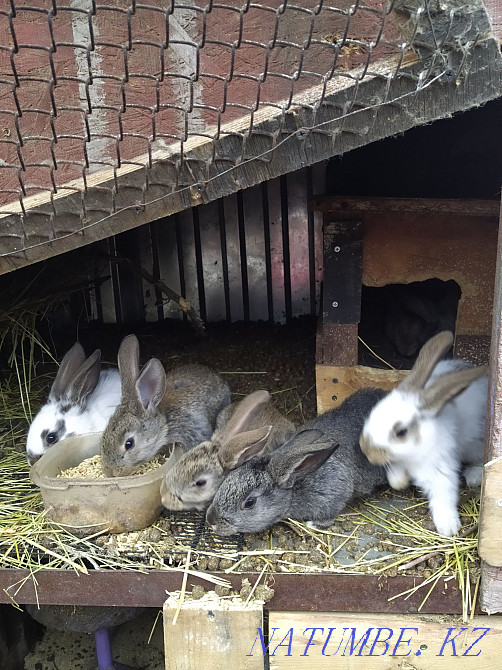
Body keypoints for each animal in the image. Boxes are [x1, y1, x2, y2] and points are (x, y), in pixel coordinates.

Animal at [206, 388, 387, 536]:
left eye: (250, 503)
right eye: (226, 480)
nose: (210, 520)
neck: (294, 485)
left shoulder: (332, 495)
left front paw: (313, 525)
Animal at [359, 330, 488, 537]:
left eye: (401, 432)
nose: (366, 450)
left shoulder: (440, 471)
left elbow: (444, 498)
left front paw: (449, 528)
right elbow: (395, 480)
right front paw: (402, 482)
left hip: (475, 444)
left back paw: (474, 477)